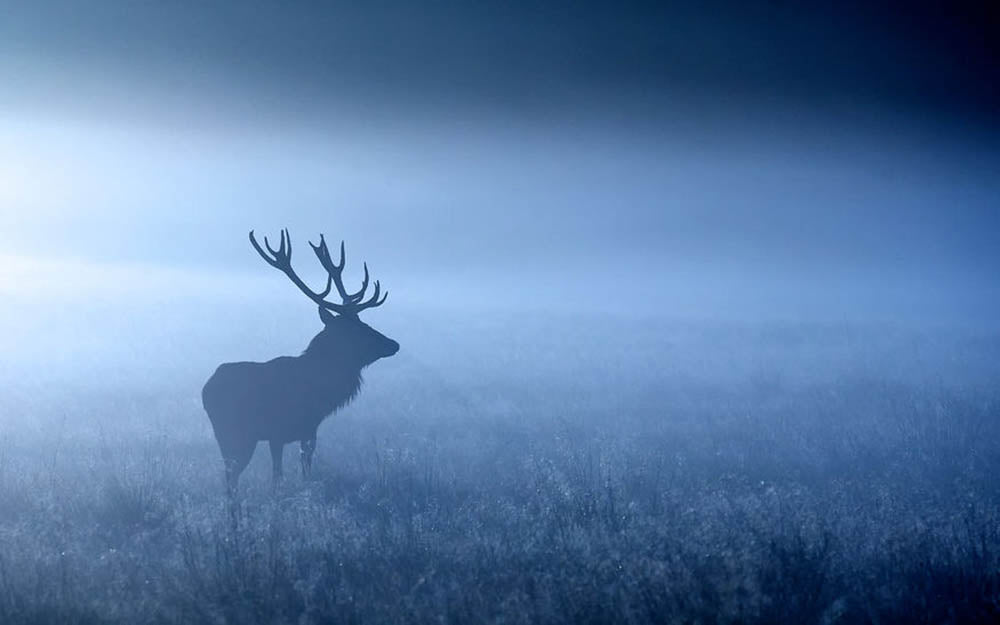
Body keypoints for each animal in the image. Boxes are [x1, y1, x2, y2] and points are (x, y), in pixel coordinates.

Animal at [202, 229, 399, 492]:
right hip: (236, 432)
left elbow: (301, 468)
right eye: (356, 329)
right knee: (231, 479)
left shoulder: (306, 429)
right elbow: (281, 474)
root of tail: (206, 389)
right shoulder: (281, 431)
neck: (322, 390)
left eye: (364, 323)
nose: (393, 344)